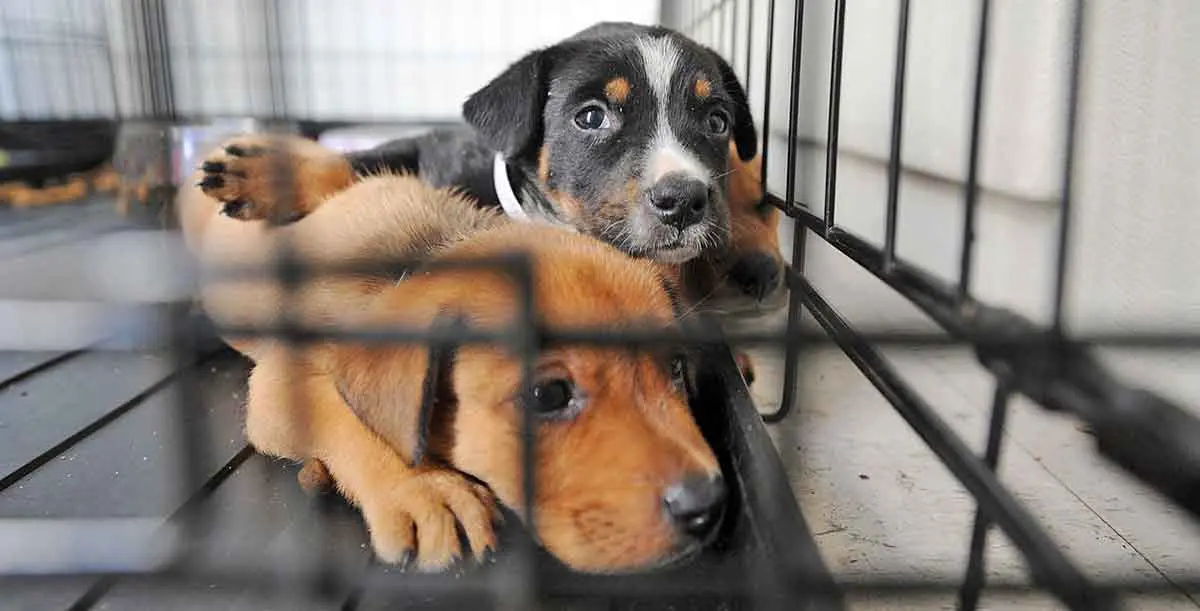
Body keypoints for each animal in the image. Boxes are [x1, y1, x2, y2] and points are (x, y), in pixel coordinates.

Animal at [200, 20, 787, 314]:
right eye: (591, 116)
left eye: (717, 121)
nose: (685, 200)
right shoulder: (430, 147)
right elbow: (358, 164)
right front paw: (269, 175)